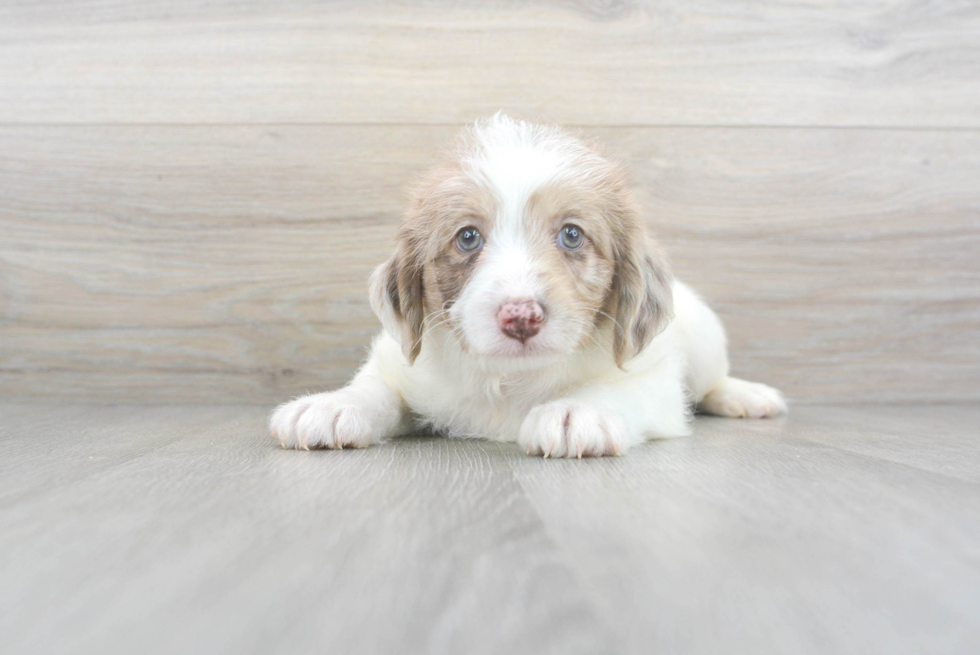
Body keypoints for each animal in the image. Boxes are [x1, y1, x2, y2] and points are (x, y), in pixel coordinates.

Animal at [270, 114, 788, 456]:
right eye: (467, 237)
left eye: (572, 235)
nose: (521, 317)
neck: (511, 381)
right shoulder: (400, 363)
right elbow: (375, 386)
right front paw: (333, 405)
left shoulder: (654, 383)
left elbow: (616, 390)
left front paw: (576, 412)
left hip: (704, 339)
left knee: (712, 380)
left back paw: (744, 395)